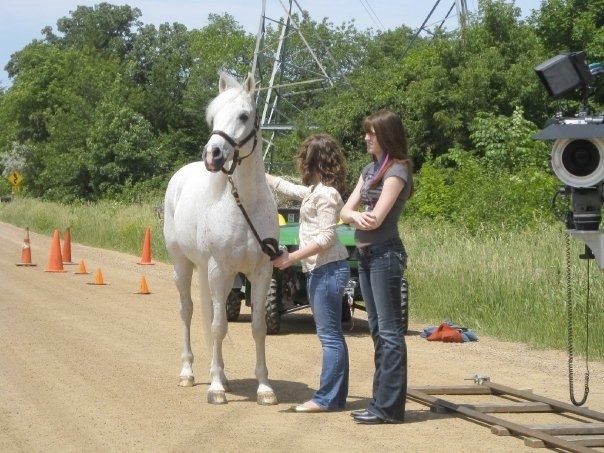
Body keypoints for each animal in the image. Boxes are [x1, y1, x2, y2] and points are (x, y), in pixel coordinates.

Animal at [164, 72, 280, 404]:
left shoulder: (261, 272)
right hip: (184, 266)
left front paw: (264, 388)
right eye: (213, 117)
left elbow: (257, 327)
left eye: (243, 115)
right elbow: (217, 326)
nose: (212, 155)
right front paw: (215, 389)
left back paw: (225, 377)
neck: (244, 205)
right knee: (188, 311)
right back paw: (189, 373)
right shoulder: (218, 270)